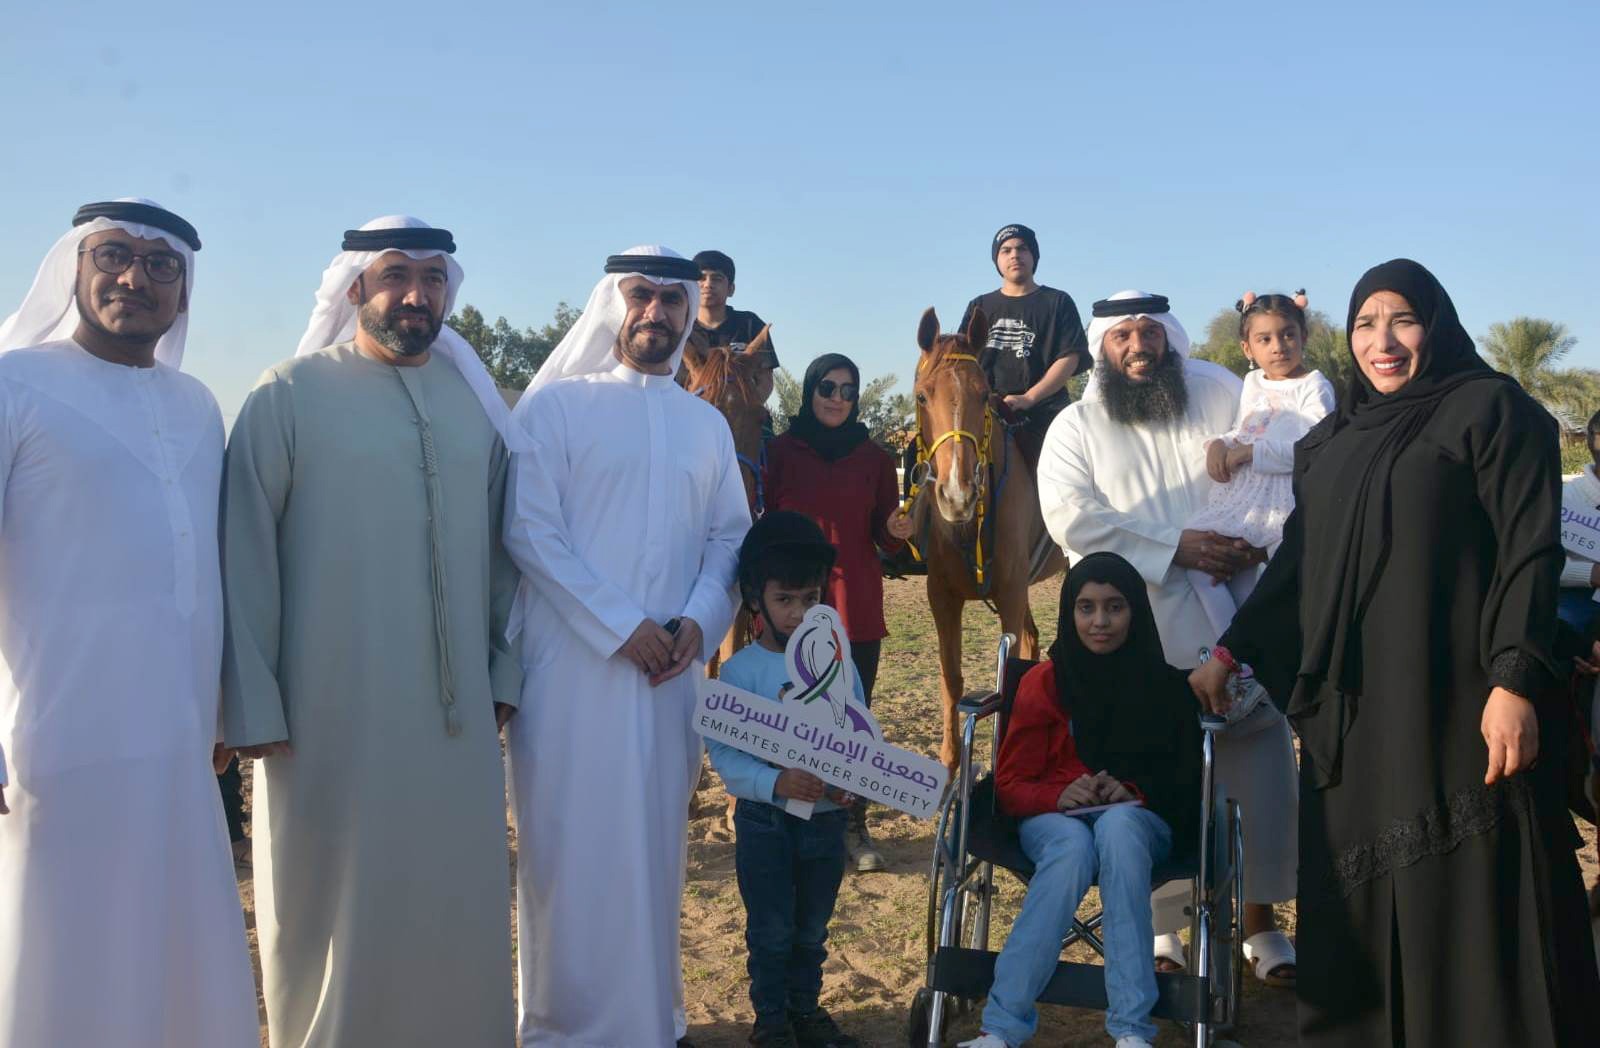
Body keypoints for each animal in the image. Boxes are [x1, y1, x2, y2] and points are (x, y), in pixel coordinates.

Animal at [908, 306, 1065, 770]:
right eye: (922, 396)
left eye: (984, 396)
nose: (957, 494)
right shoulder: (942, 598)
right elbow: (952, 678)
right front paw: (948, 765)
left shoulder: (1010, 596)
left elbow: (1006, 680)